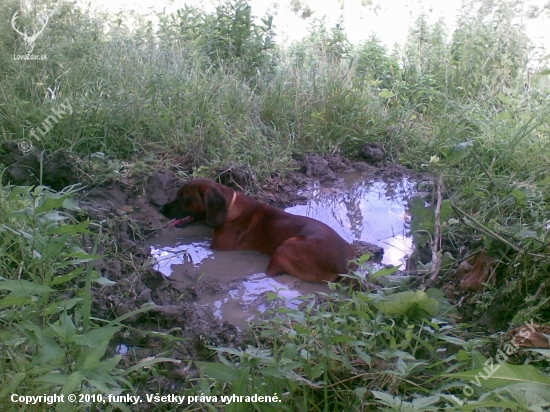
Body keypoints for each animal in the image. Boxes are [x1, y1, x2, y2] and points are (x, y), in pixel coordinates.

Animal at [161, 179, 358, 282]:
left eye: (184, 198)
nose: (161, 209)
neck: (230, 207)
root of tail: (344, 265)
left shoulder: (217, 246)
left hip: (286, 246)